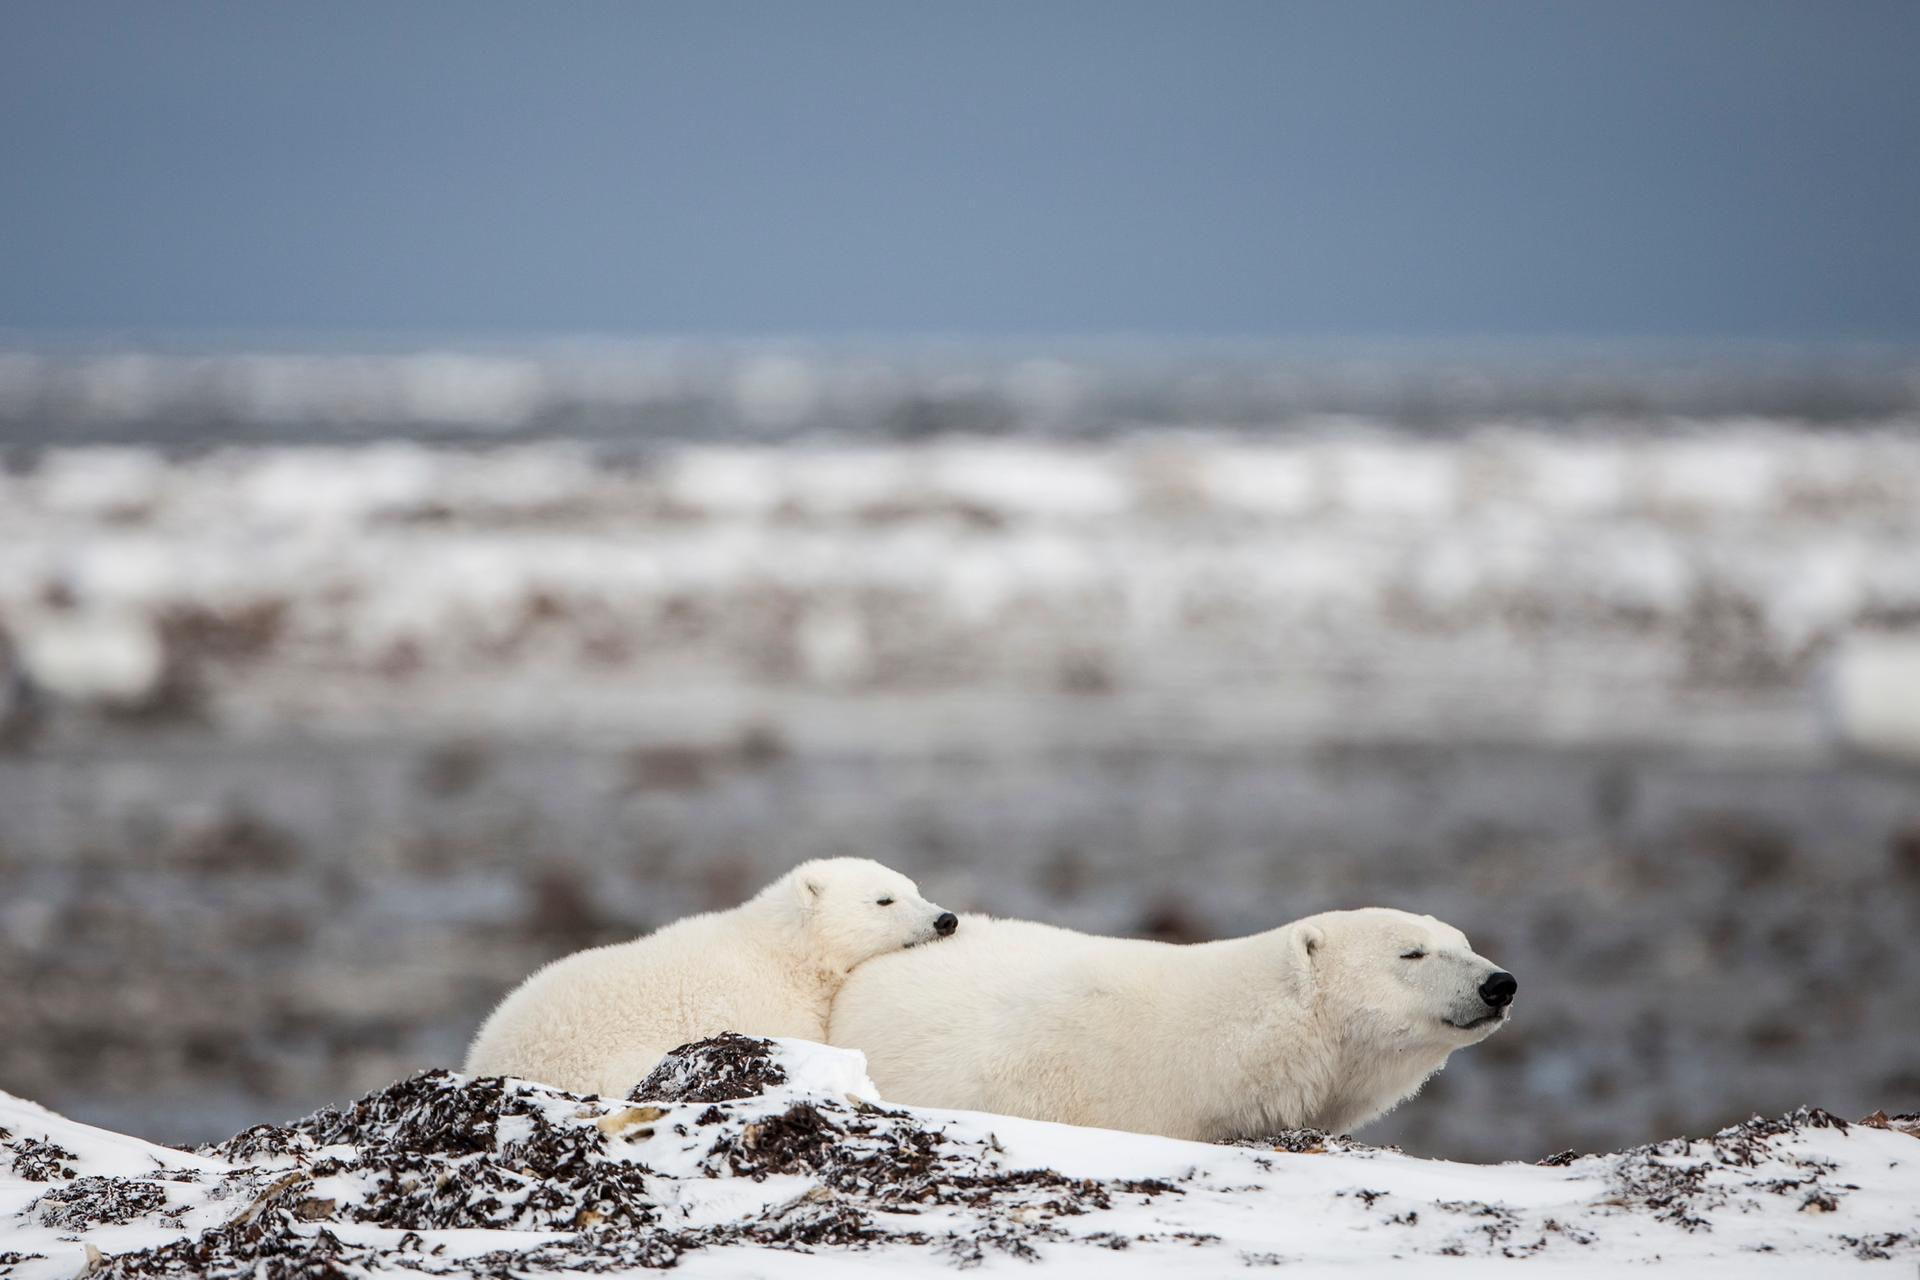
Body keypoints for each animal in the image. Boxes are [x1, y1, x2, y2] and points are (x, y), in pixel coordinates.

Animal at [468, 855, 956, 1097]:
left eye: (915, 888)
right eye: (884, 900)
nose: (946, 919)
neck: (781, 954)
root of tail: (484, 1056)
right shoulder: (769, 1006)